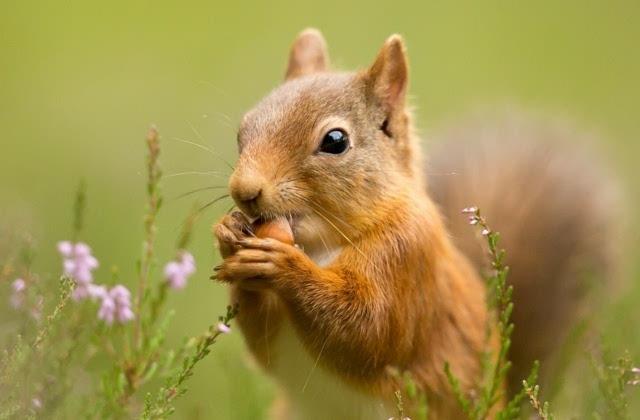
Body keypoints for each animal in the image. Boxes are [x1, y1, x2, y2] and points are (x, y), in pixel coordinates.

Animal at [212, 27, 616, 418]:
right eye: (242, 130)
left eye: (335, 141)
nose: (244, 190)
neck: (321, 245)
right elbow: (265, 344)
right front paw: (229, 234)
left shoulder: (406, 256)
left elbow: (366, 330)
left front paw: (284, 265)